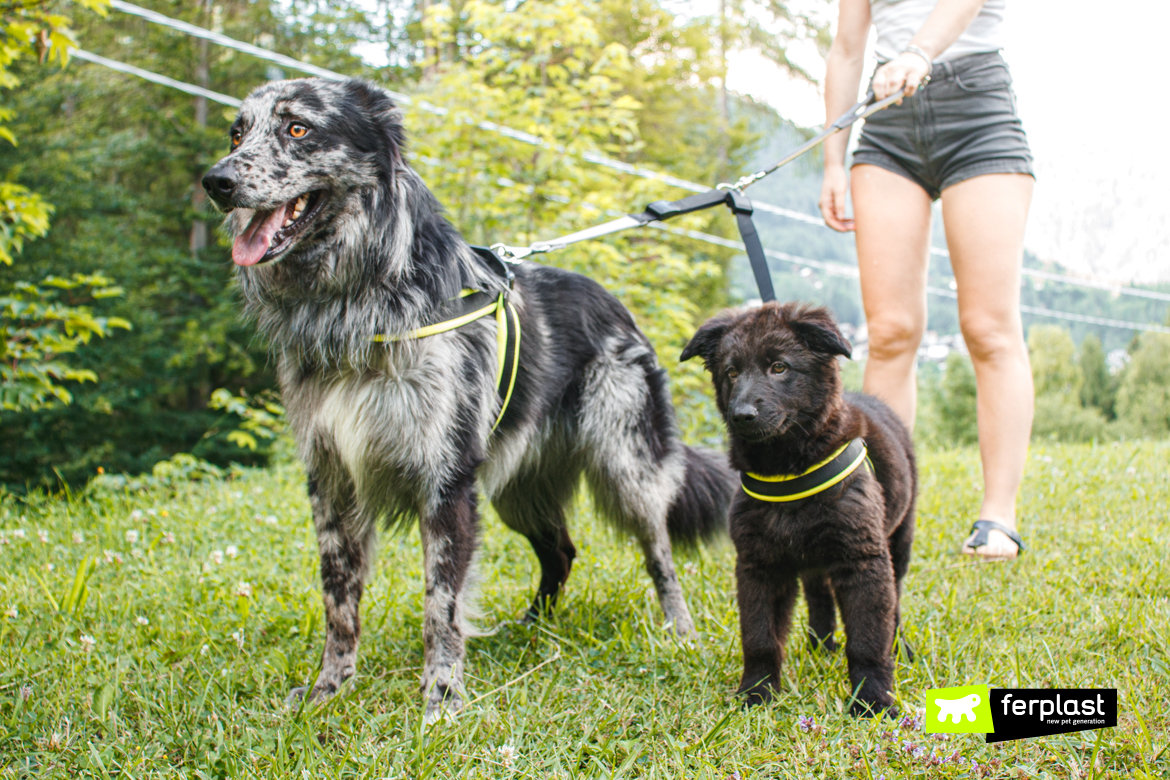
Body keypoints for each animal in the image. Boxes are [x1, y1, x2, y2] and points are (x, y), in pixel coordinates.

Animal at [200, 77, 730, 720]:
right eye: (236, 133)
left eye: (298, 127)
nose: (216, 182)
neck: (362, 296)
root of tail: (617, 306)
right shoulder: (333, 481)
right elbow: (339, 602)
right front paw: (331, 688)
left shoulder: (446, 480)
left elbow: (441, 603)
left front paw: (442, 696)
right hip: (517, 491)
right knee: (561, 551)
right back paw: (532, 630)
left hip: (626, 466)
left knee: (659, 554)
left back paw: (679, 630)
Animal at [683, 301, 917, 715]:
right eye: (731, 371)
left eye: (779, 367)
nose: (742, 415)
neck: (787, 473)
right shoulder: (760, 565)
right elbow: (760, 638)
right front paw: (756, 694)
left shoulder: (863, 559)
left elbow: (867, 640)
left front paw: (872, 701)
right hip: (815, 561)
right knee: (820, 596)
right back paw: (820, 647)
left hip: (898, 543)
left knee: (895, 604)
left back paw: (898, 648)